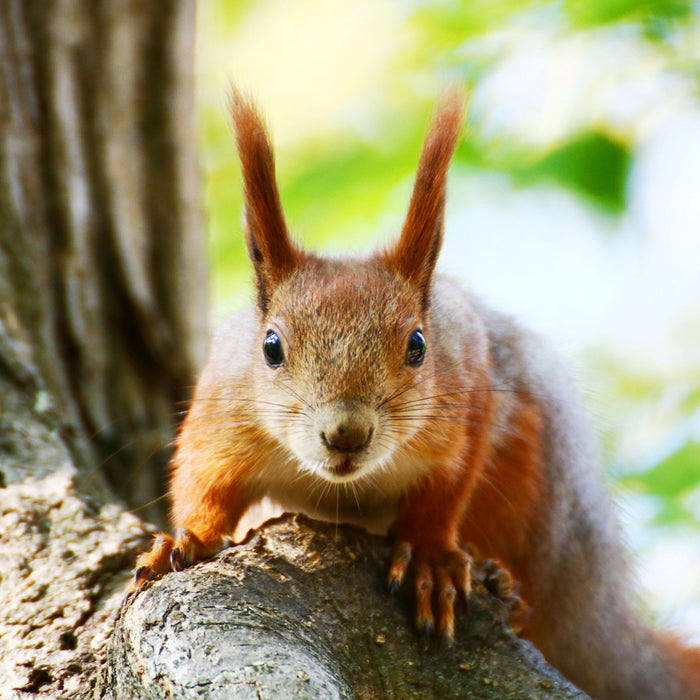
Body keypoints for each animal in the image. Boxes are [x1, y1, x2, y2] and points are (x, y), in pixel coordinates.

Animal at [133, 87, 700, 700]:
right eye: (271, 347)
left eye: (418, 344)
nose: (346, 434)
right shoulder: (223, 409)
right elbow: (203, 482)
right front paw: (186, 540)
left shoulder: (467, 395)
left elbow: (445, 489)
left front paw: (431, 558)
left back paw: (504, 586)